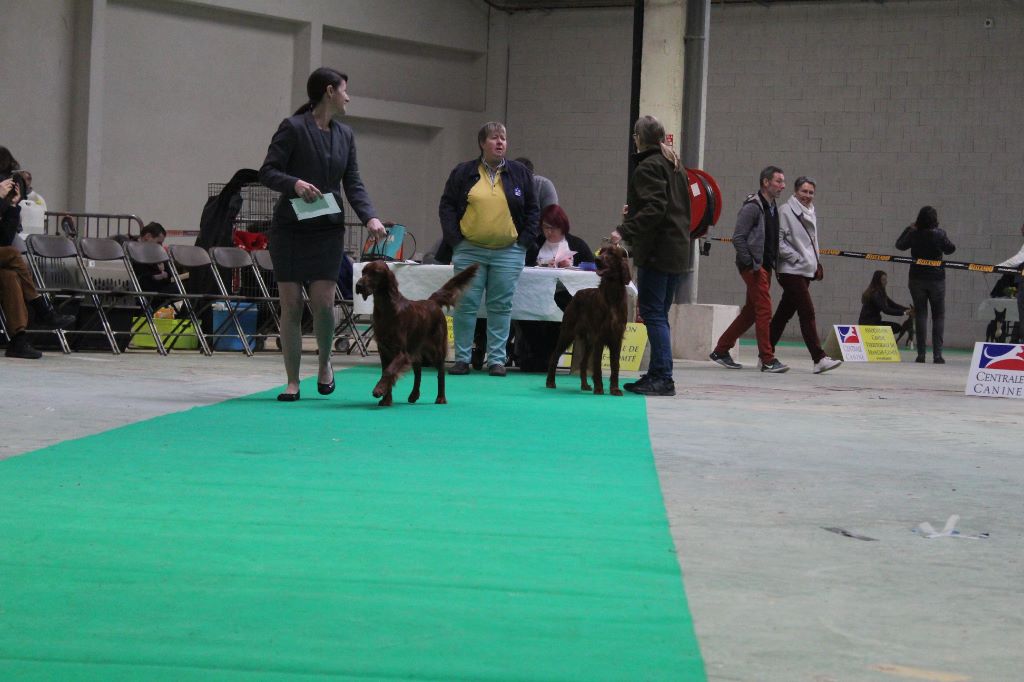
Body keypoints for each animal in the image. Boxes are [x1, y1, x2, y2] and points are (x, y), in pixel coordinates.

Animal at [355, 261, 479, 406]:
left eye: (375, 273)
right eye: (363, 272)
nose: (358, 285)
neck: (386, 309)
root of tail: (432, 301)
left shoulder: (401, 352)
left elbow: (389, 371)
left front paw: (379, 390)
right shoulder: (384, 350)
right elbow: (386, 371)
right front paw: (386, 400)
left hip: (436, 349)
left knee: (440, 372)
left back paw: (441, 398)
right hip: (415, 348)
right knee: (418, 371)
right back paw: (414, 395)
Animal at [545, 245, 631, 396]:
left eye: (611, 253)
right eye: (601, 252)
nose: (597, 260)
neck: (612, 295)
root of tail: (575, 296)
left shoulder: (616, 338)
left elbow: (615, 365)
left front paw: (615, 389)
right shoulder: (600, 337)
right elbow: (597, 365)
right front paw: (599, 388)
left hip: (589, 341)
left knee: (583, 363)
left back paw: (584, 385)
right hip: (567, 333)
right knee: (554, 356)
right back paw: (550, 382)